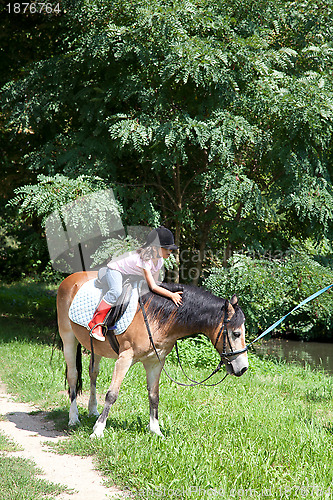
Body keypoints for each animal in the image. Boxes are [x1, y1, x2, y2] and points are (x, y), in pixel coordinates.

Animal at [57, 272, 248, 440]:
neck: (156, 316)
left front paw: (156, 431)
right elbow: (112, 394)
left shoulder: (155, 361)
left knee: (93, 373)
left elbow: (154, 396)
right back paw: (73, 418)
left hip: (96, 349)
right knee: (73, 376)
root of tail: (71, 279)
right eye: (236, 334)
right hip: (68, 338)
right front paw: (97, 431)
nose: (243, 368)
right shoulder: (124, 359)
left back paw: (92, 410)